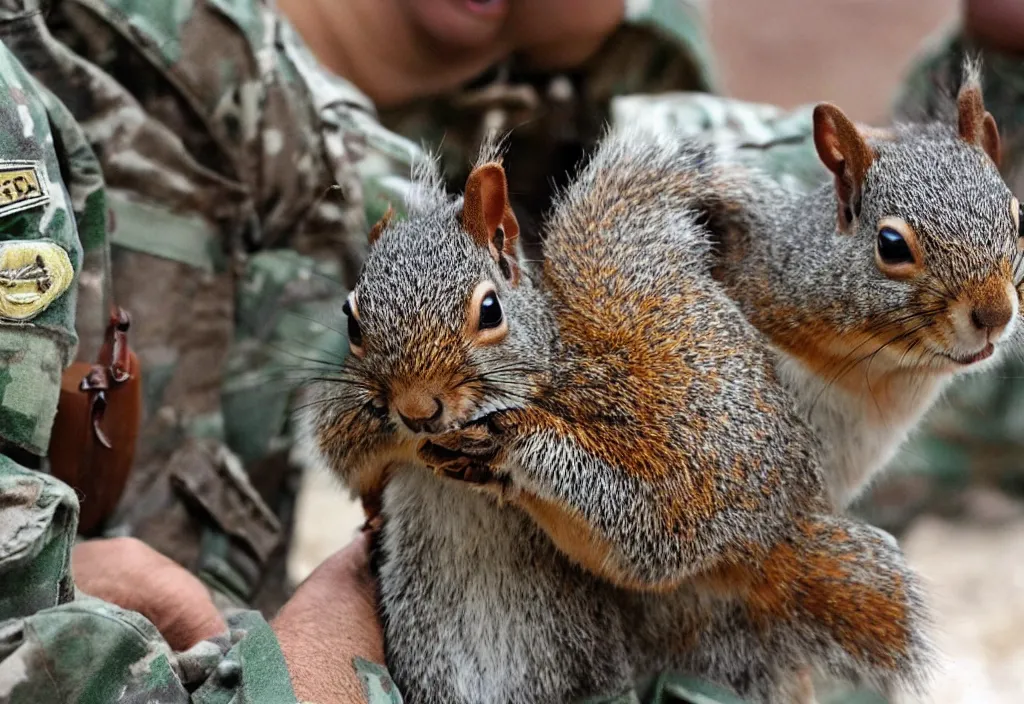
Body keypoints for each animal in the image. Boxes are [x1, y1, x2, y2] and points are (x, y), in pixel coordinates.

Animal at [301, 61, 1015, 704]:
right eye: (351, 319)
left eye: (490, 311)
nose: (417, 410)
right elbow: (345, 444)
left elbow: (644, 523)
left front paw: (514, 442)